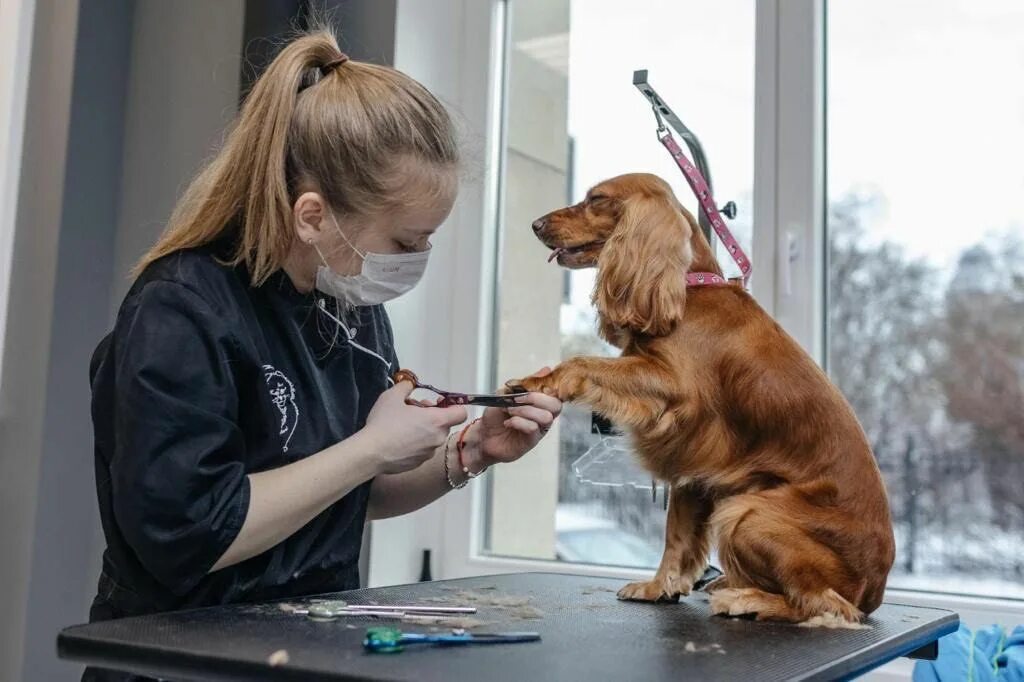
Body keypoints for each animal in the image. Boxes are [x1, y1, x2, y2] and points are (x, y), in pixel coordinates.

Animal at [512, 171, 897, 622]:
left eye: (597, 199)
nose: (535, 224)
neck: (689, 290)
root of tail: (875, 588)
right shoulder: (693, 466)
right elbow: (676, 535)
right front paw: (659, 587)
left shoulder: (675, 389)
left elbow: (580, 362)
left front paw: (534, 383)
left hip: (748, 513)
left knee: (827, 606)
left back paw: (745, 598)